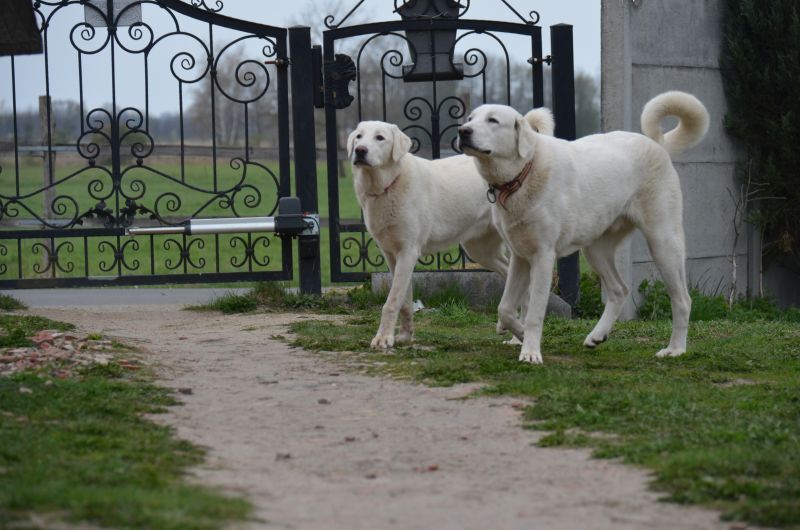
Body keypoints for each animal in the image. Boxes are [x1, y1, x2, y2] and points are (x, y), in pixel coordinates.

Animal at [350, 113, 556, 348]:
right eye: (359, 137)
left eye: (380, 138)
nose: (360, 150)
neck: (388, 184)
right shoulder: (393, 256)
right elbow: (405, 300)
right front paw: (405, 336)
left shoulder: (408, 252)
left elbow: (391, 301)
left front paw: (383, 338)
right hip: (481, 251)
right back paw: (512, 333)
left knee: (526, 289)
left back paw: (518, 334)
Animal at [460, 92, 708, 364]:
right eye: (470, 119)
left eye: (493, 120)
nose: (463, 131)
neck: (523, 173)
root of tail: (657, 144)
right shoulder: (520, 257)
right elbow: (504, 308)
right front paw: (520, 333)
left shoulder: (543, 257)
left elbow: (534, 312)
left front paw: (530, 352)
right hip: (596, 250)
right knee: (619, 290)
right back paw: (597, 336)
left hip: (663, 243)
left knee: (682, 300)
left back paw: (675, 349)